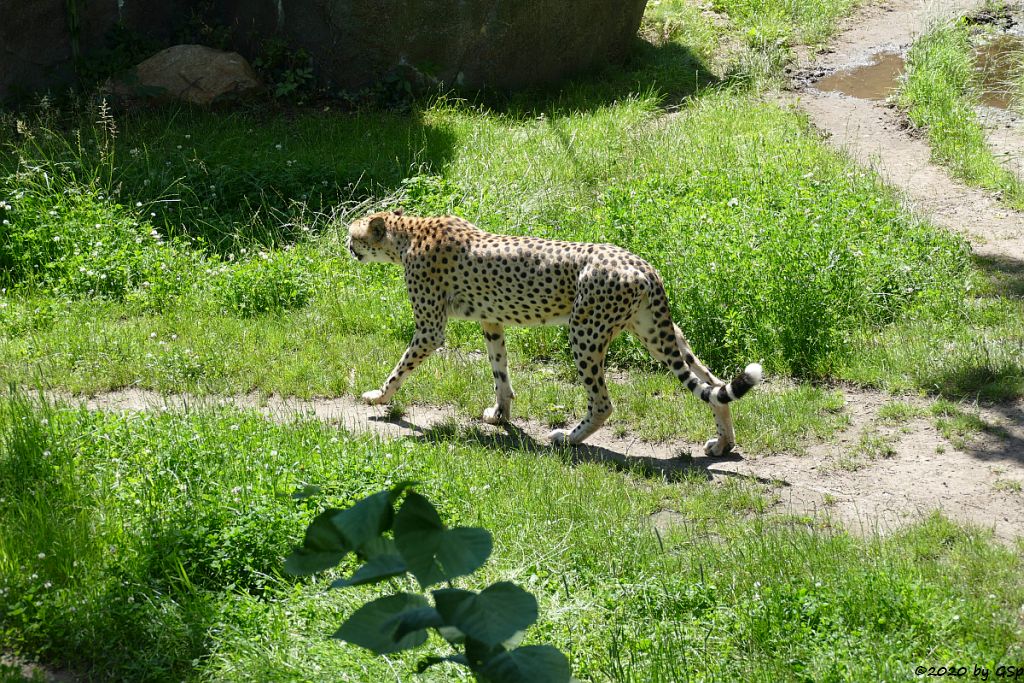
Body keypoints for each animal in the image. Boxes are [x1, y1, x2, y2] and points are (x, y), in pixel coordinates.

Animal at [350, 209, 761, 454]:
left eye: (354, 236)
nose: (347, 246)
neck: (408, 232)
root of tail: (642, 264)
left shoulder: (430, 329)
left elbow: (400, 367)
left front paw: (379, 397)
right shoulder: (491, 322)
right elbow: (500, 372)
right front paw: (500, 414)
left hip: (585, 332)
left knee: (603, 402)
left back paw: (567, 438)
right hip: (657, 334)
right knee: (711, 383)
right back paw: (722, 444)